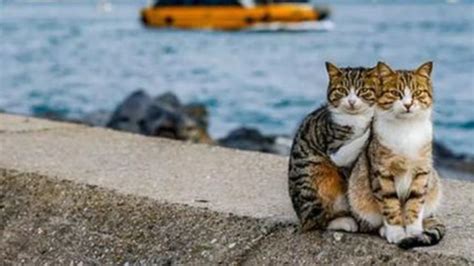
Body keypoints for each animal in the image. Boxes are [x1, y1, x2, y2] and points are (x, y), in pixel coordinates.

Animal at [286, 61, 380, 231]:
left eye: (362, 91)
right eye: (342, 90)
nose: (351, 102)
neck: (357, 118)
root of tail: (300, 217)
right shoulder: (335, 149)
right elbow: (357, 140)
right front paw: (371, 126)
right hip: (313, 179)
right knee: (317, 221)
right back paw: (343, 222)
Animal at [348, 61, 444, 248]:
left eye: (417, 93)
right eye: (395, 93)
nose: (408, 104)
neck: (406, 129)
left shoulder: (422, 171)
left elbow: (415, 203)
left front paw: (414, 232)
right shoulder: (382, 173)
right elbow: (390, 204)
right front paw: (396, 233)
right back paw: (384, 230)